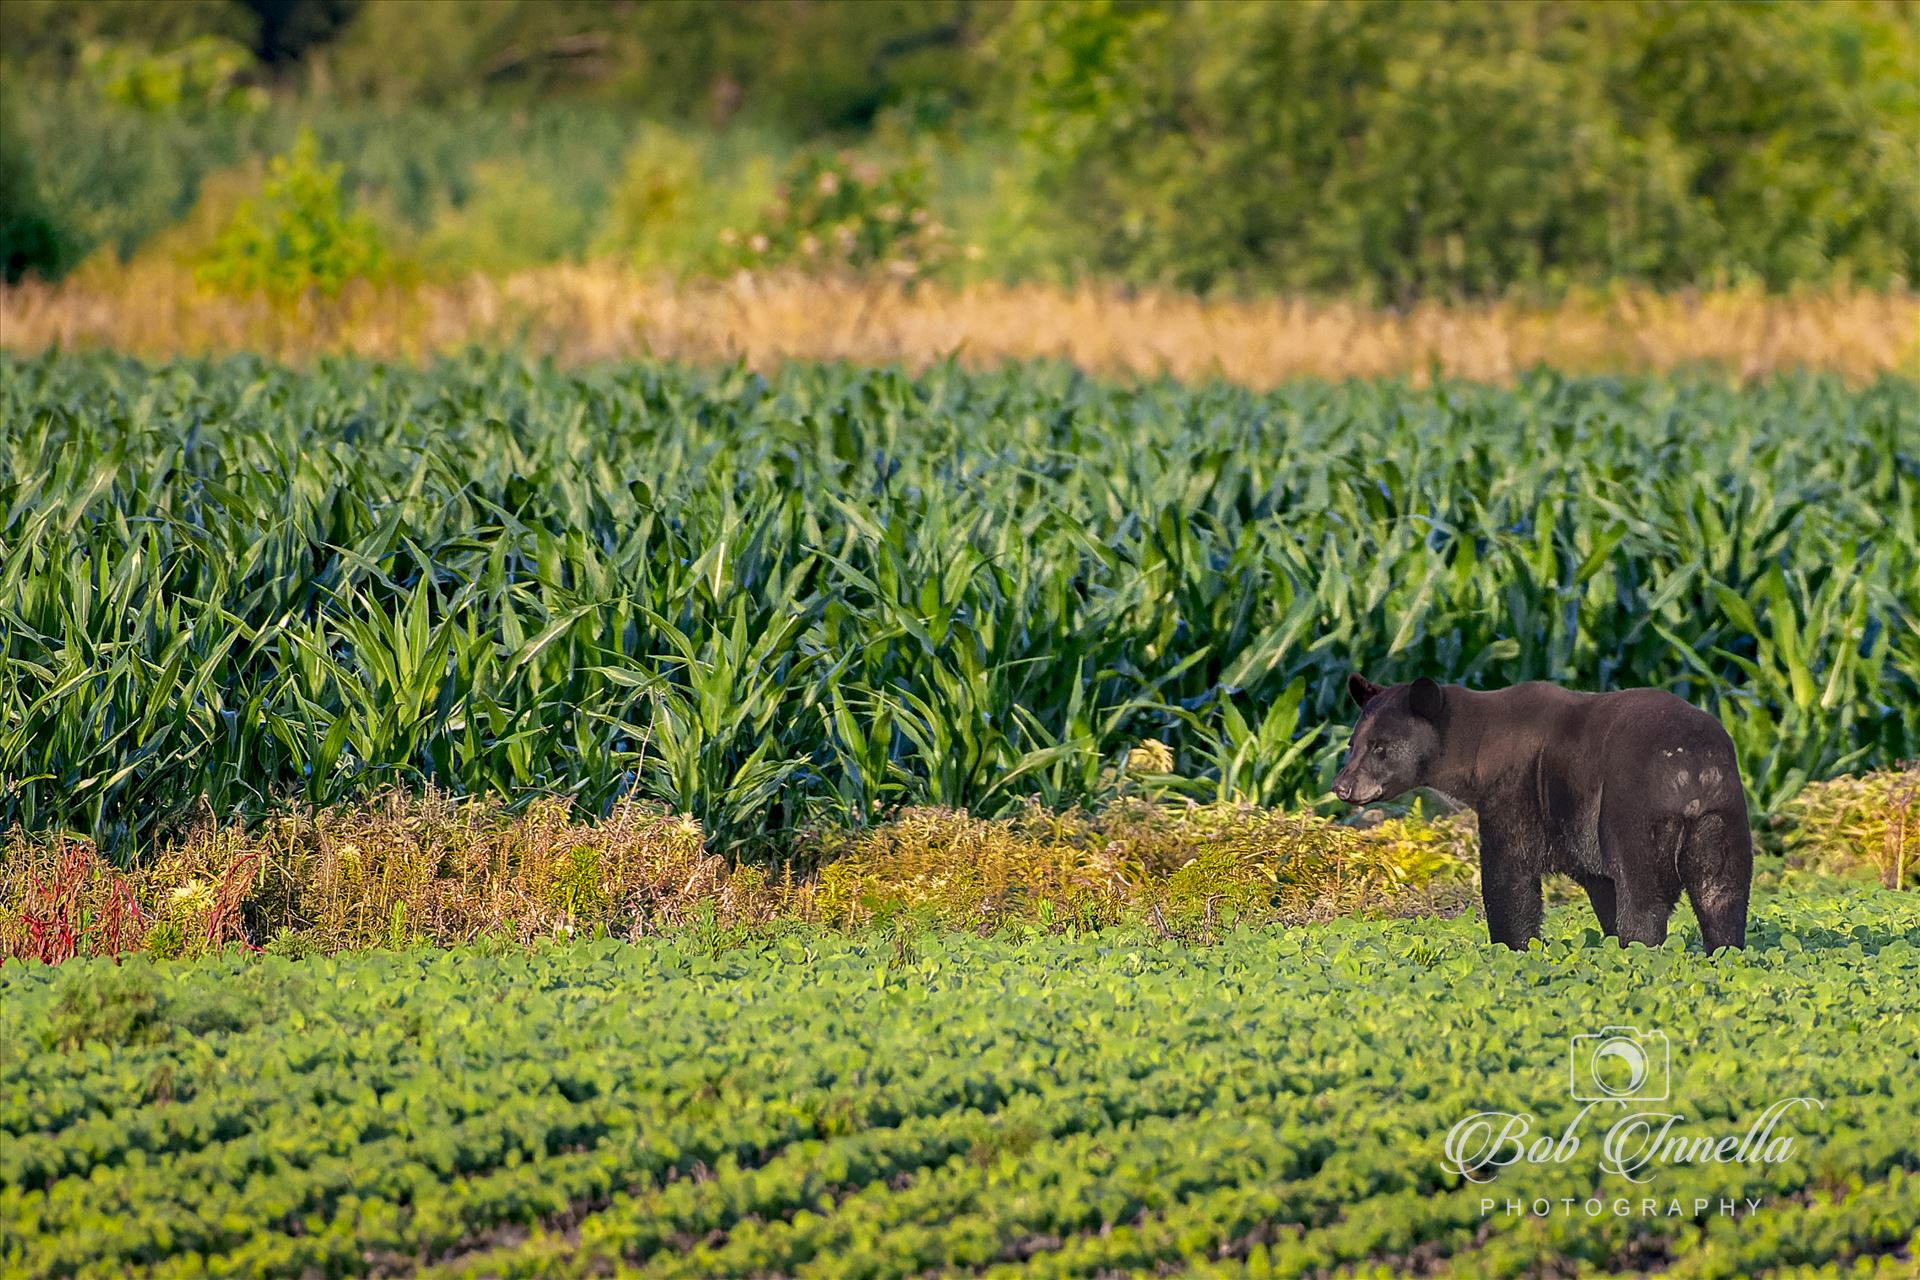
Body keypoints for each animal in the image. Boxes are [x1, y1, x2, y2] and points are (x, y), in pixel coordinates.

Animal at [1336, 679, 1758, 951]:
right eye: (1352, 743)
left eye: (1380, 747)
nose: (1342, 786)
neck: (1476, 747)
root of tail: (1692, 770)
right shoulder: (1579, 827)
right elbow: (1600, 885)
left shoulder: (1517, 792)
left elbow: (1509, 875)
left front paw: (1513, 947)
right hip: (1722, 817)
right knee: (1722, 893)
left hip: (1634, 808)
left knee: (1643, 895)